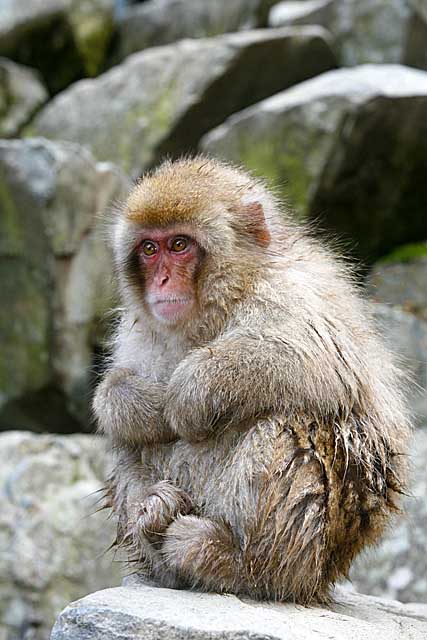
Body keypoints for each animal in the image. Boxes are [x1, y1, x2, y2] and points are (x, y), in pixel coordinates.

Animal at [93, 156, 412, 604]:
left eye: (179, 245)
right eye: (149, 249)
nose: (161, 281)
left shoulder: (292, 291)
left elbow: (325, 365)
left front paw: (186, 395)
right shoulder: (138, 329)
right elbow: (114, 394)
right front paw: (141, 407)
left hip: (318, 544)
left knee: (290, 424)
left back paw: (240, 563)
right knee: (128, 448)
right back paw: (155, 521)